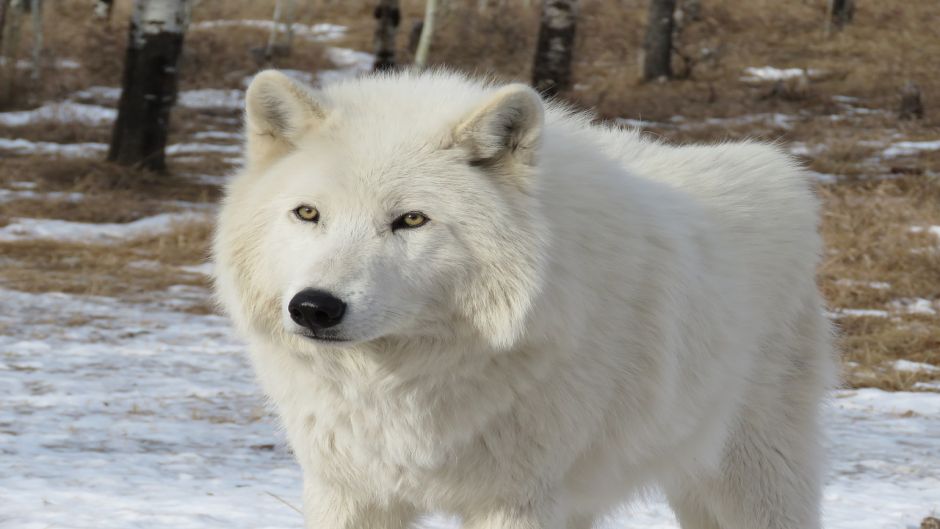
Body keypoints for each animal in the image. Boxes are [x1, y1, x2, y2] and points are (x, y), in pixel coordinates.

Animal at [215, 70, 836, 528]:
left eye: (411, 220)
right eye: (307, 213)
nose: (314, 307)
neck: (403, 385)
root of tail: (780, 169)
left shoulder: (517, 501)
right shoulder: (347, 491)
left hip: (754, 481)